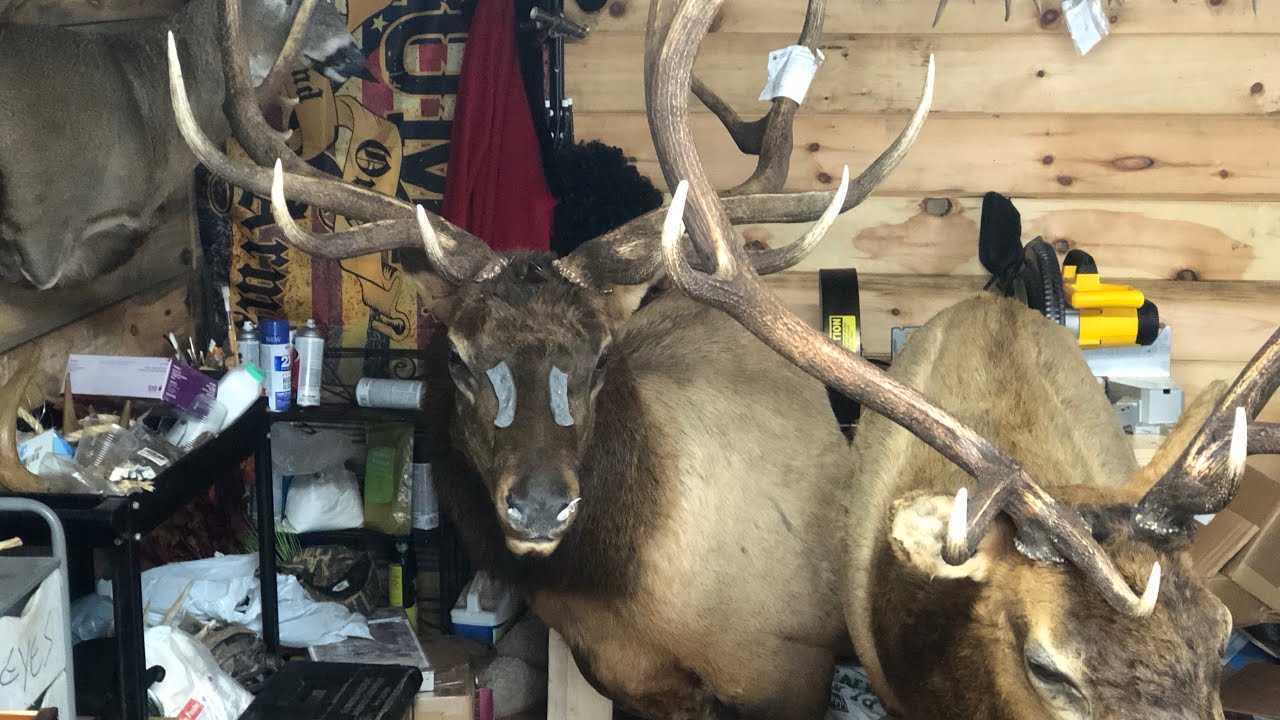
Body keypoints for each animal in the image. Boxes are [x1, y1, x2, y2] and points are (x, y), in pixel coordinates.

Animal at [160, 0, 944, 716]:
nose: (540, 504)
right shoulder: (624, 678)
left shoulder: (793, 673)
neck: (647, 600)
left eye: (599, 358)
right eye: (459, 358)